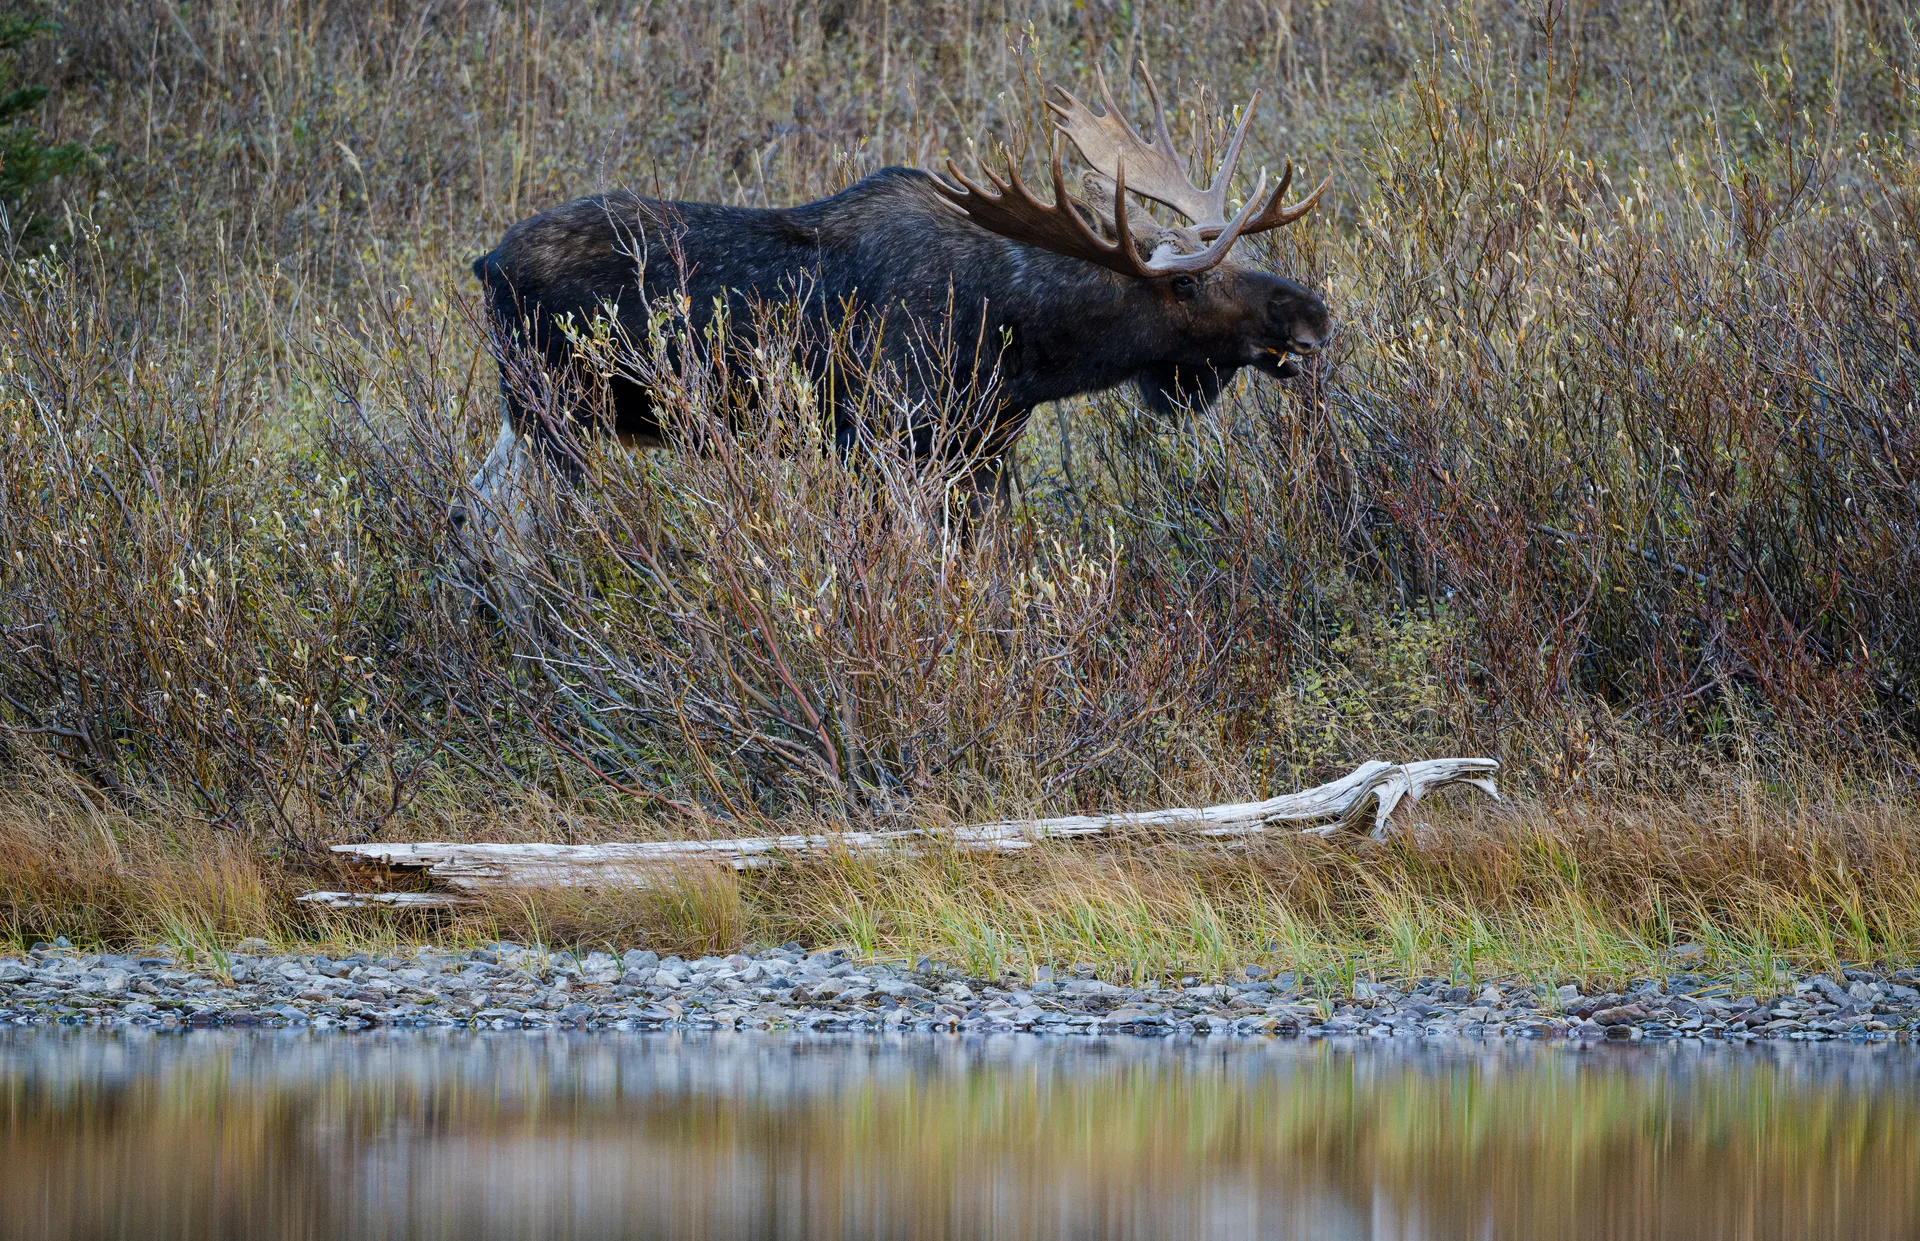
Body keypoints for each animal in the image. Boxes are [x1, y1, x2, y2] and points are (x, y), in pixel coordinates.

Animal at [459, 64, 1331, 548]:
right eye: (1187, 282)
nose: (1312, 314)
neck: (1026, 349)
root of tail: (484, 262)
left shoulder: (981, 450)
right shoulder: (883, 436)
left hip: (528, 417)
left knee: (477, 512)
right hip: (557, 414)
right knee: (510, 532)